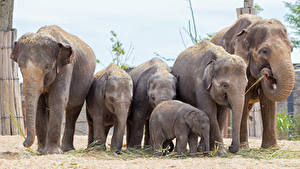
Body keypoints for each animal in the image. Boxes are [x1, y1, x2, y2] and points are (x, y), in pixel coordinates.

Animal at [10, 25, 95, 154]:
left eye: (47, 67)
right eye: (19, 66)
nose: (24, 143)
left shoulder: (66, 66)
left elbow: (58, 98)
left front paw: (51, 153)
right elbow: (39, 104)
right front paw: (40, 152)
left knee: (73, 110)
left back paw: (67, 150)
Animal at [211, 14, 296, 149]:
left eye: (291, 49)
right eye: (264, 51)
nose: (267, 72)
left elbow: (267, 100)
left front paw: (270, 148)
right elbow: (244, 98)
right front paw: (243, 147)